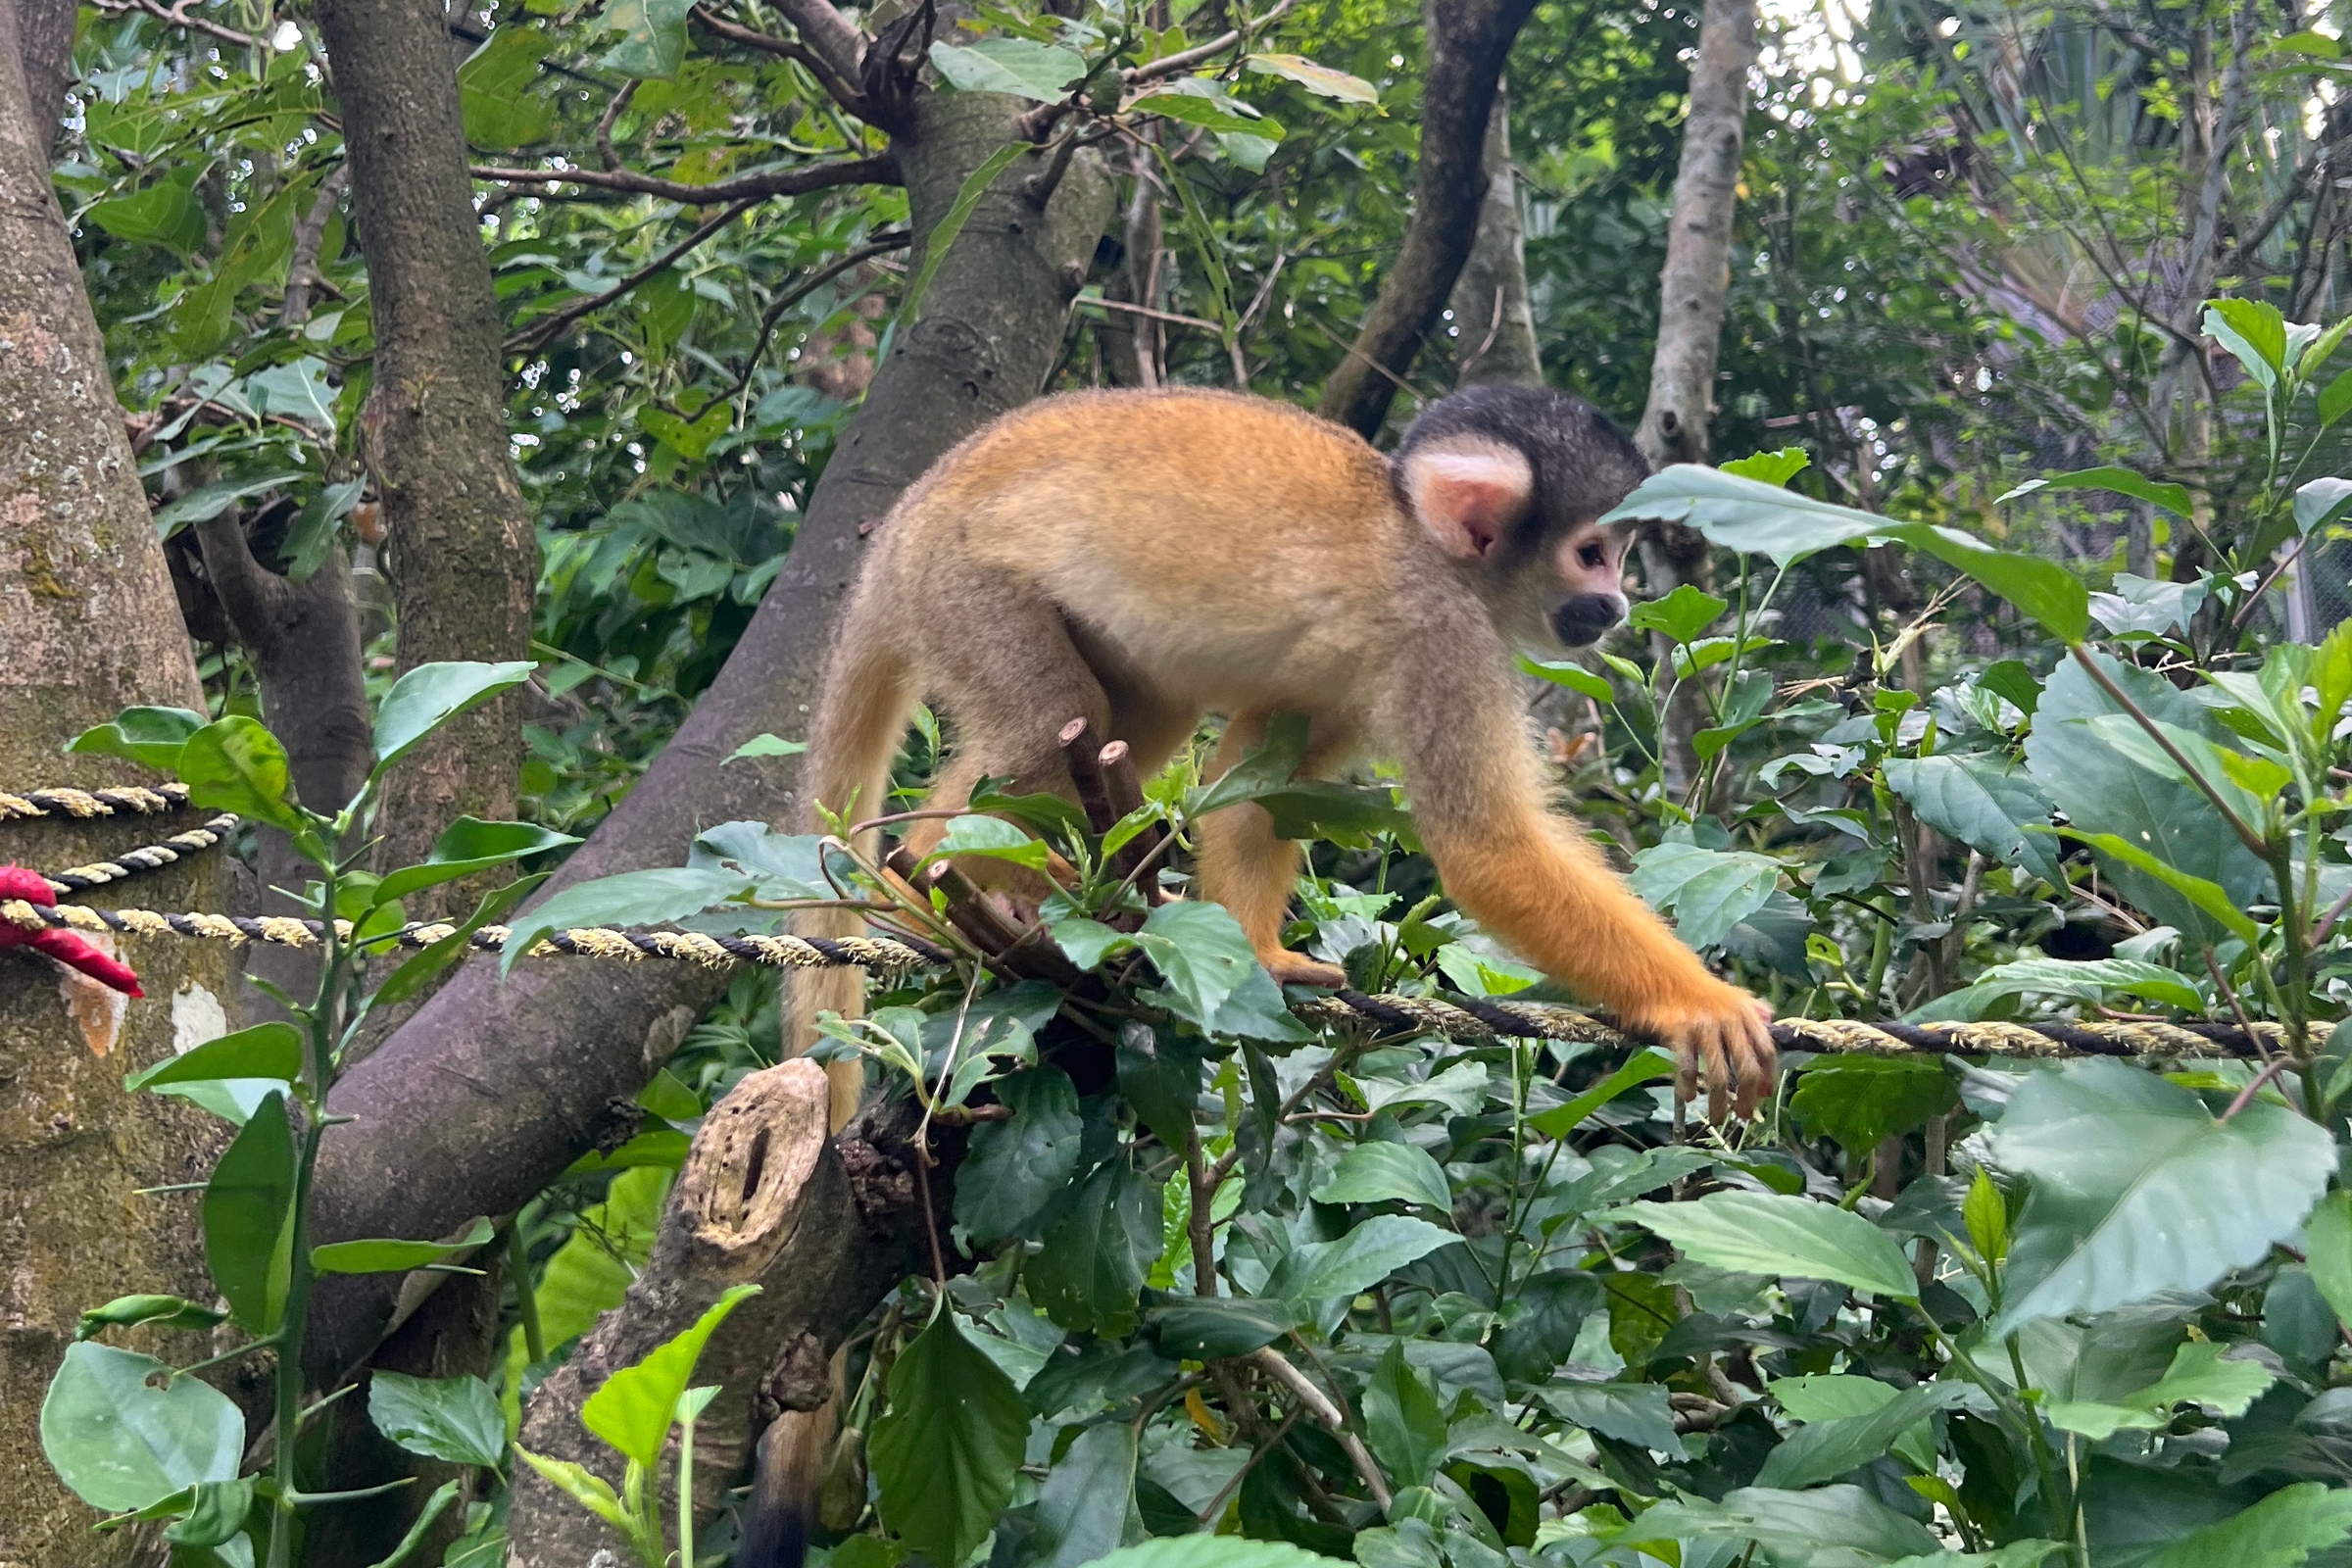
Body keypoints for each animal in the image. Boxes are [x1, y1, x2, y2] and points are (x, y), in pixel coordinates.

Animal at [739, 383, 1776, 1563]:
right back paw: (945, 888)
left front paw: (1258, 954)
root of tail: (899, 526)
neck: (1421, 541)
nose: (1612, 604)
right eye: (1594, 551)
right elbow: (1486, 851)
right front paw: (1700, 1002)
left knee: (1126, 722)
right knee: (1046, 722)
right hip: (964, 587)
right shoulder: (1440, 634)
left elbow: (1258, 777)